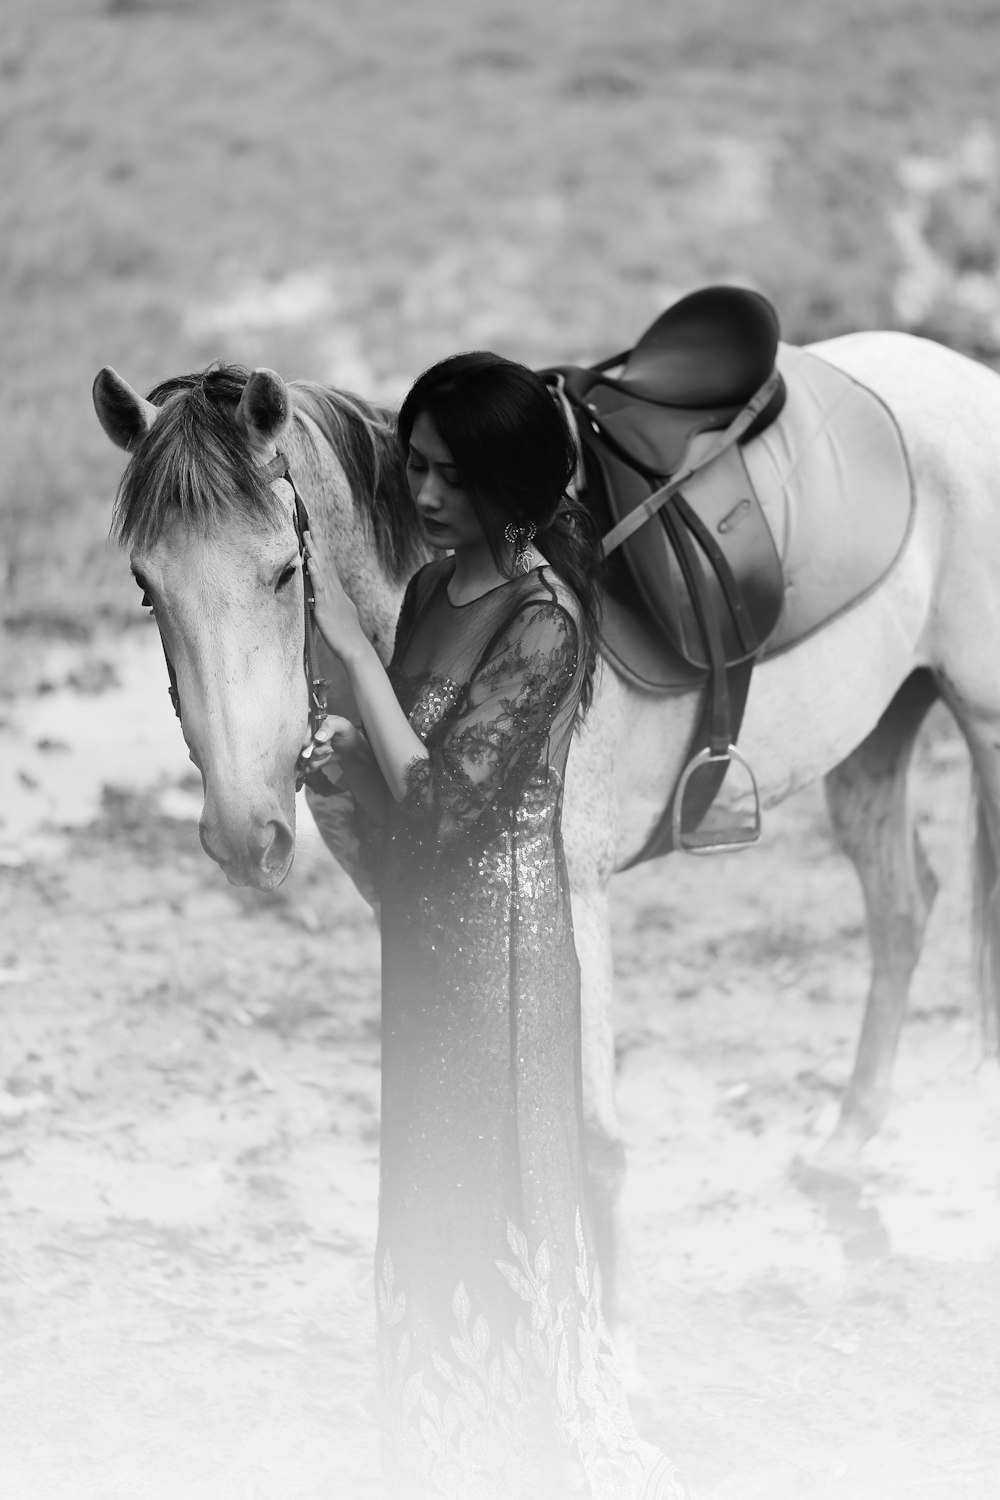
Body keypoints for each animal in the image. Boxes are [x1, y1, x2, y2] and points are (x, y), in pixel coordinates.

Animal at [91, 337, 1000, 1338]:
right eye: (147, 588)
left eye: (285, 573)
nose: (243, 832)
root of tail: (960, 371)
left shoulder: (573, 891)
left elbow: (595, 1143)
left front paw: (604, 1341)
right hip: (877, 732)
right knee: (903, 907)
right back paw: (845, 1142)